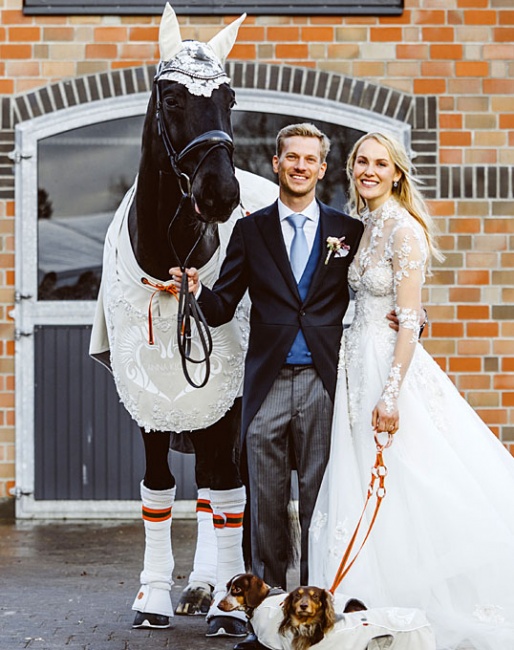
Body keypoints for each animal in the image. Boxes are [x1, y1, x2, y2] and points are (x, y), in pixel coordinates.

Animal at [90, 2, 270, 636]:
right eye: (170, 98)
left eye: (230, 97)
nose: (219, 193)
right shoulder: (153, 399)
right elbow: (160, 489)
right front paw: (153, 598)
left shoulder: (226, 397)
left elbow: (231, 493)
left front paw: (230, 609)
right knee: (208, 490)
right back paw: (200, 585)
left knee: (227, 490)